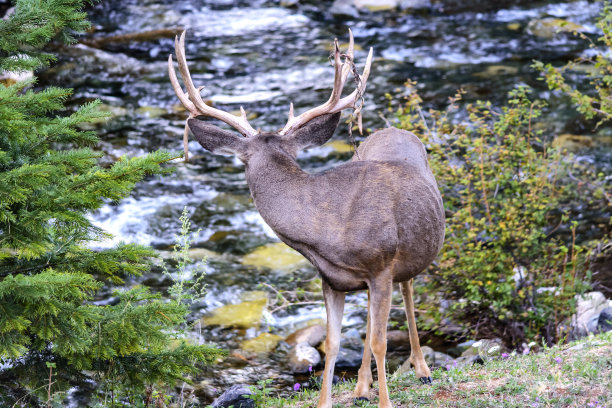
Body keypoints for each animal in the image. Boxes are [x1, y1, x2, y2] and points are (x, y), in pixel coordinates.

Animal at [167, 29, 444, 408]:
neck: (326, 232)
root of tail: (397, 130)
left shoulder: (381, 267)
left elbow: (380, 341)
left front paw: (386, 402)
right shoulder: (331, 279)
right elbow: (334, 344)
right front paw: (330, 399)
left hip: (404, 260)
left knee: (408, 290)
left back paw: (422, 369)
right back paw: (361, 388)